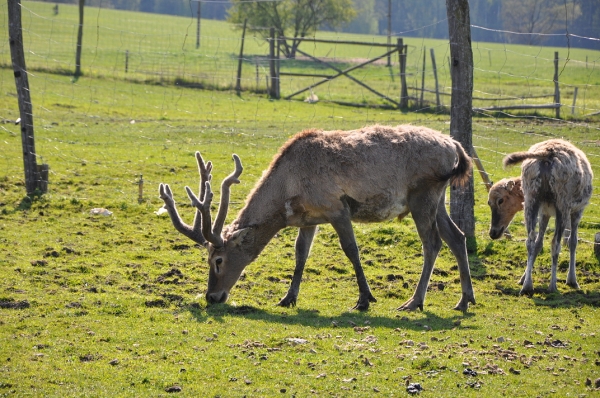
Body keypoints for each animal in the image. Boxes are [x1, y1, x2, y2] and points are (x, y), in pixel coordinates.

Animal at [157, 124, 476, 310]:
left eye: (218, 260)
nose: (212, 297)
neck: (289, 189)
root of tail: (455, 147)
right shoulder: (310, 219)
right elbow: (300, 255)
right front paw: (288, 297)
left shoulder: (336, 207)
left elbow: (351, 250)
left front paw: (365, 299)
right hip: (437, 199)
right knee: (457, 236)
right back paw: (465, 299)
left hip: (423, 194)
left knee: (432, 243)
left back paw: (415, 301)